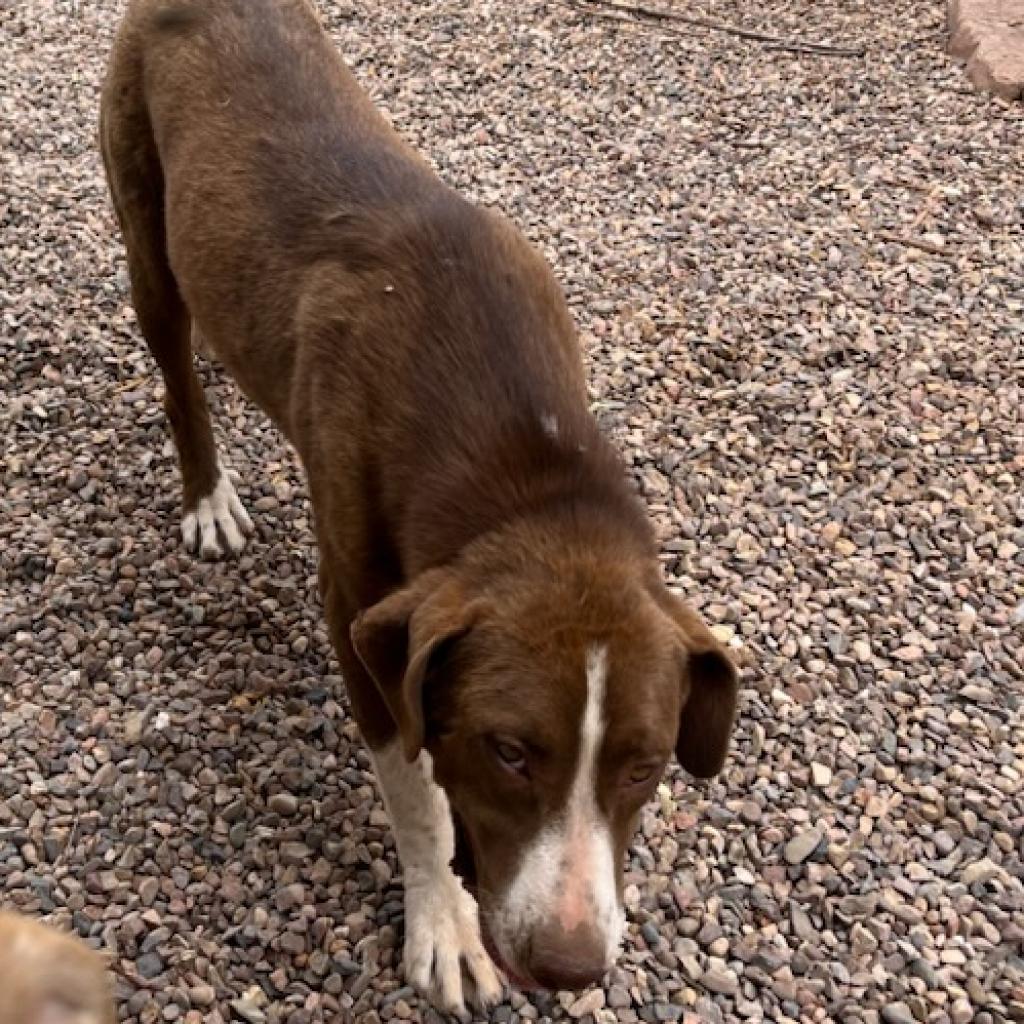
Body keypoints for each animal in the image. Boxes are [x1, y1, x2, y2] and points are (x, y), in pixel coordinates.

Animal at [99, 0, 741, 1007]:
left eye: (645, 765)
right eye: (508, 749)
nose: (570, 968)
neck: (523, 468)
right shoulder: (363, 615)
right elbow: (416, 790)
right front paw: (444, 923)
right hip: (146, 231)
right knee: (175, 373)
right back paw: (208, 496)